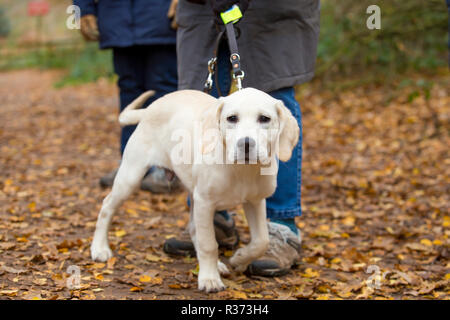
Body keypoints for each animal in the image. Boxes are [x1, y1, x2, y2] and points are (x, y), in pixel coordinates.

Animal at [90, 87, 298, 292]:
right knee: (106, 206)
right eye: (232, 118)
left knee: (193, 228)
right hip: (131, 176)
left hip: (192, 190)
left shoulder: (255, 201)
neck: (241, 170)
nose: (245, 144)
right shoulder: (205, 202)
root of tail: (152, 107)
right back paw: (99, 248)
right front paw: (209, 279)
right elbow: (209, 244)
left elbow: (261, 241)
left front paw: (240, 258)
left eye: (264, 118)